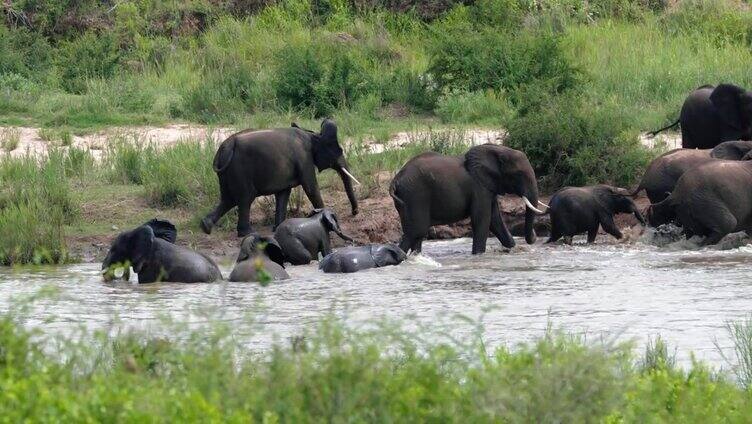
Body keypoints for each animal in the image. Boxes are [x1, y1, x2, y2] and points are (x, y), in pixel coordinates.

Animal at [201, 119, 360, 238]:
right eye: (339, 151)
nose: (354, 213)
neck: (312, 134)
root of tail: (225, 146)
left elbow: (283, 193)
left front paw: (278, 227)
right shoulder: (304, 158)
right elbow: (310, 187)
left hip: (227, 171)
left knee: (228, 199)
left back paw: (206, 227)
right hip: (240, 169)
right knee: (245, 198)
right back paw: (248, 233)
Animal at [390, 142, 544, 255]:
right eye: (519, 175)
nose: (535, 235)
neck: (498, 150)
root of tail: (396, 180)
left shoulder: (488, 187)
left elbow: (495, 220)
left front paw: (512, 248)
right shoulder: (479, 187)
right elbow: (482, 220)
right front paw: (478, 255)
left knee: (416, 235)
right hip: (415, 195)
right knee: (415, 232)